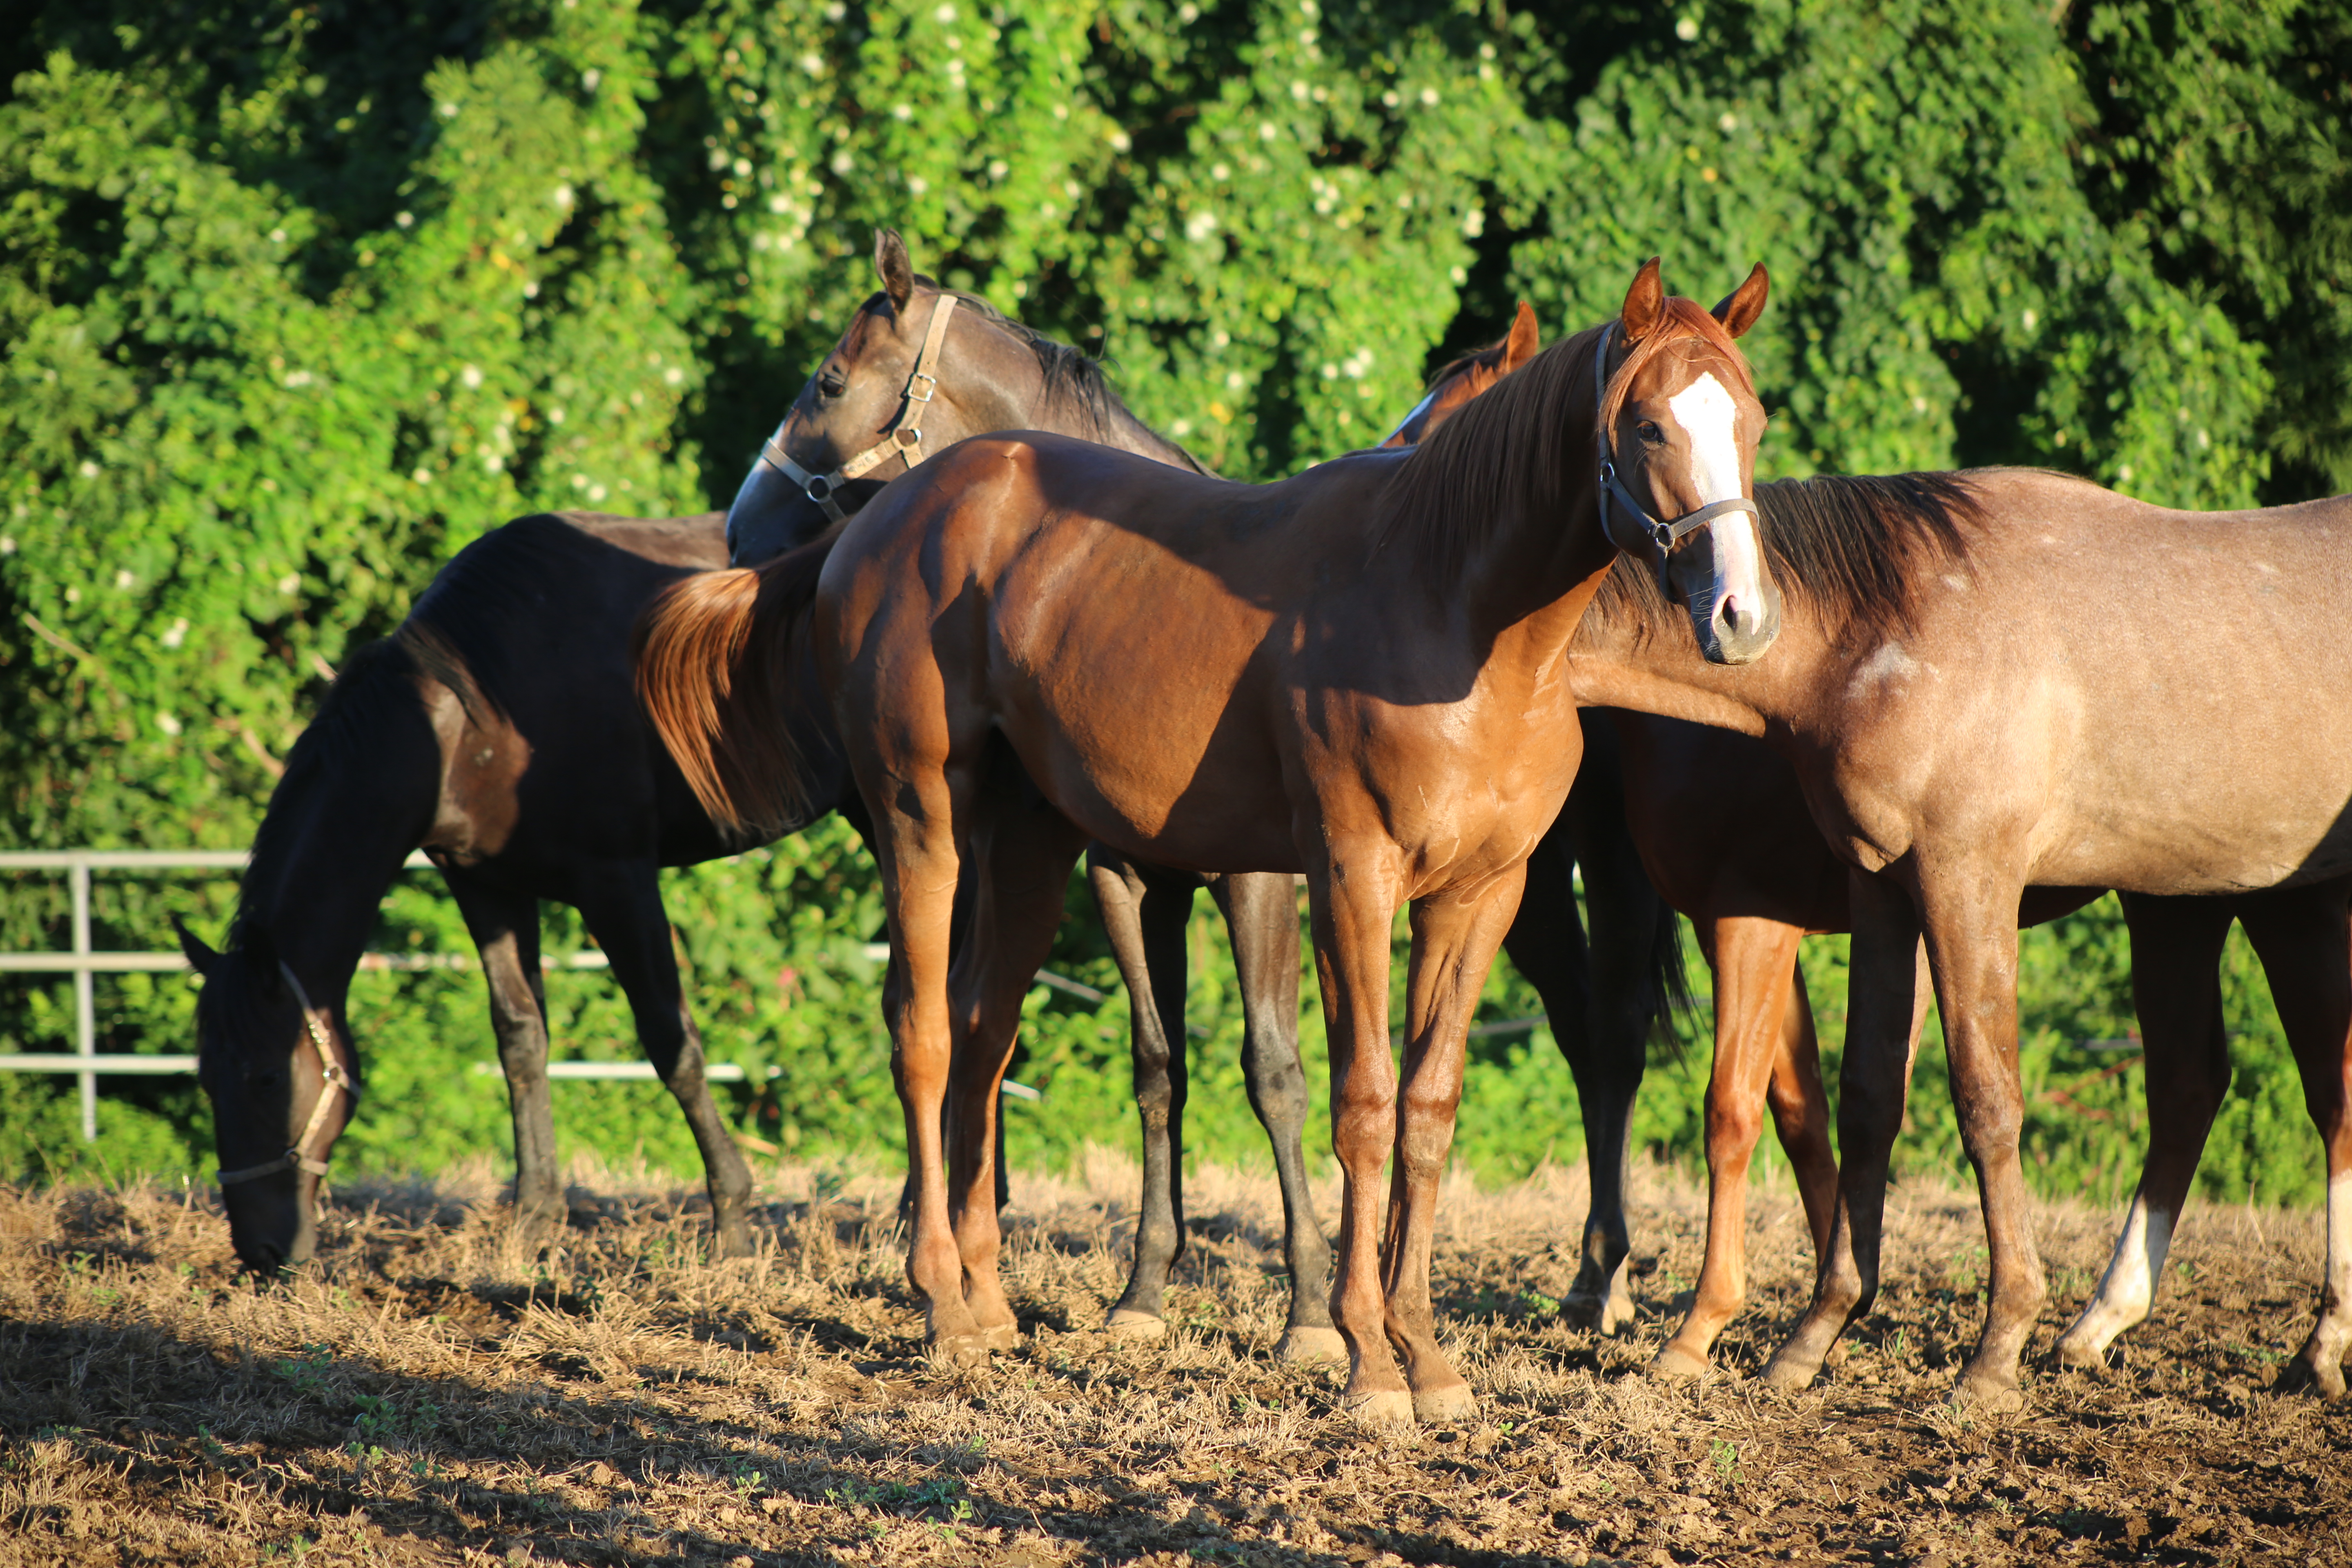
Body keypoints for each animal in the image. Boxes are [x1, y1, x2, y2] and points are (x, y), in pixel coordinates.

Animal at [635, 263, 1768, 1429]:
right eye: (1645, 425)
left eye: (1753, 424)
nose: (1738, 616)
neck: (1455, 608)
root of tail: (882, 523)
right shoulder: (1343, 879)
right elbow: (1351, 1101)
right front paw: (1363, 1357)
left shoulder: (1477, 894)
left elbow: (1425, 1106)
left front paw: (1427, 1359)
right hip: (925, 823)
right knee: (925, 1032)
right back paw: (942, 1301)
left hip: (1031, 849)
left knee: (985, 1035)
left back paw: (989, 1305)